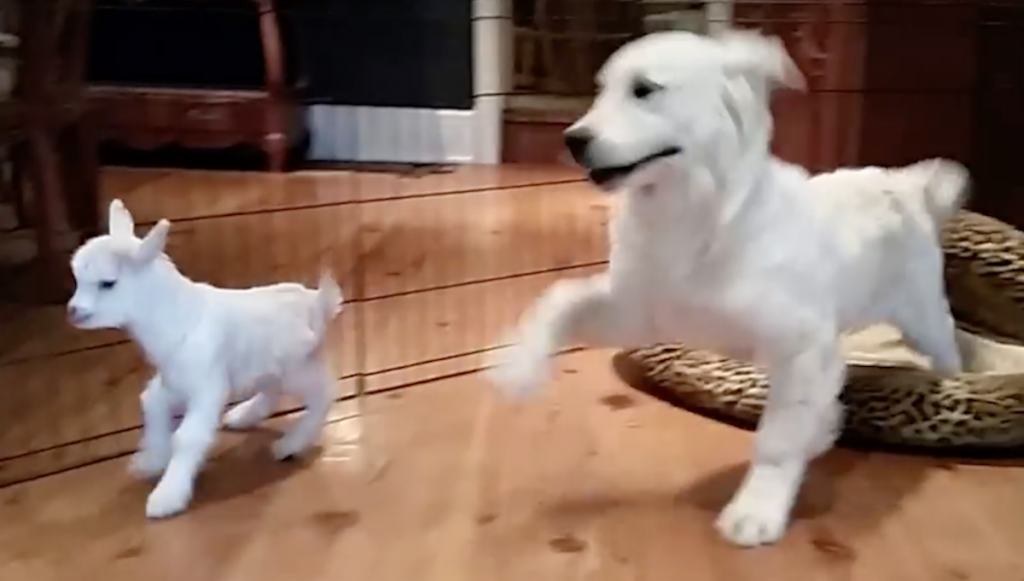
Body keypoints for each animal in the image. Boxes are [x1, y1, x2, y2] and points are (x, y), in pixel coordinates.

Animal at [71, 201, 348, 520]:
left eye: (108, 284)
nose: (73, 311)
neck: (177, 315)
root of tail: (317, 303)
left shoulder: (208, 388)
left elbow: (186, 437)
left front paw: (167, 497)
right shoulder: (171, 385)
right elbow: (151, 408)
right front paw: (151, 461)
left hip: (298, 367)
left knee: (323, 394)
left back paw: (290, 444)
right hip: (265, 365)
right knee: (272, 391)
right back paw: (244, 416)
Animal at [487, 30, 966, 549]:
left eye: (643, 90)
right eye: (601, 91)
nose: (572, 140)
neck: (689, 216)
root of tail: (903, 183)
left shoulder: (800, 344)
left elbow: (777, 438)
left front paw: (757, 509)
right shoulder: (638, 311)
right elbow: (561, 298)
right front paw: (519, 364)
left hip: (921, 315)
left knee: (945, 354)